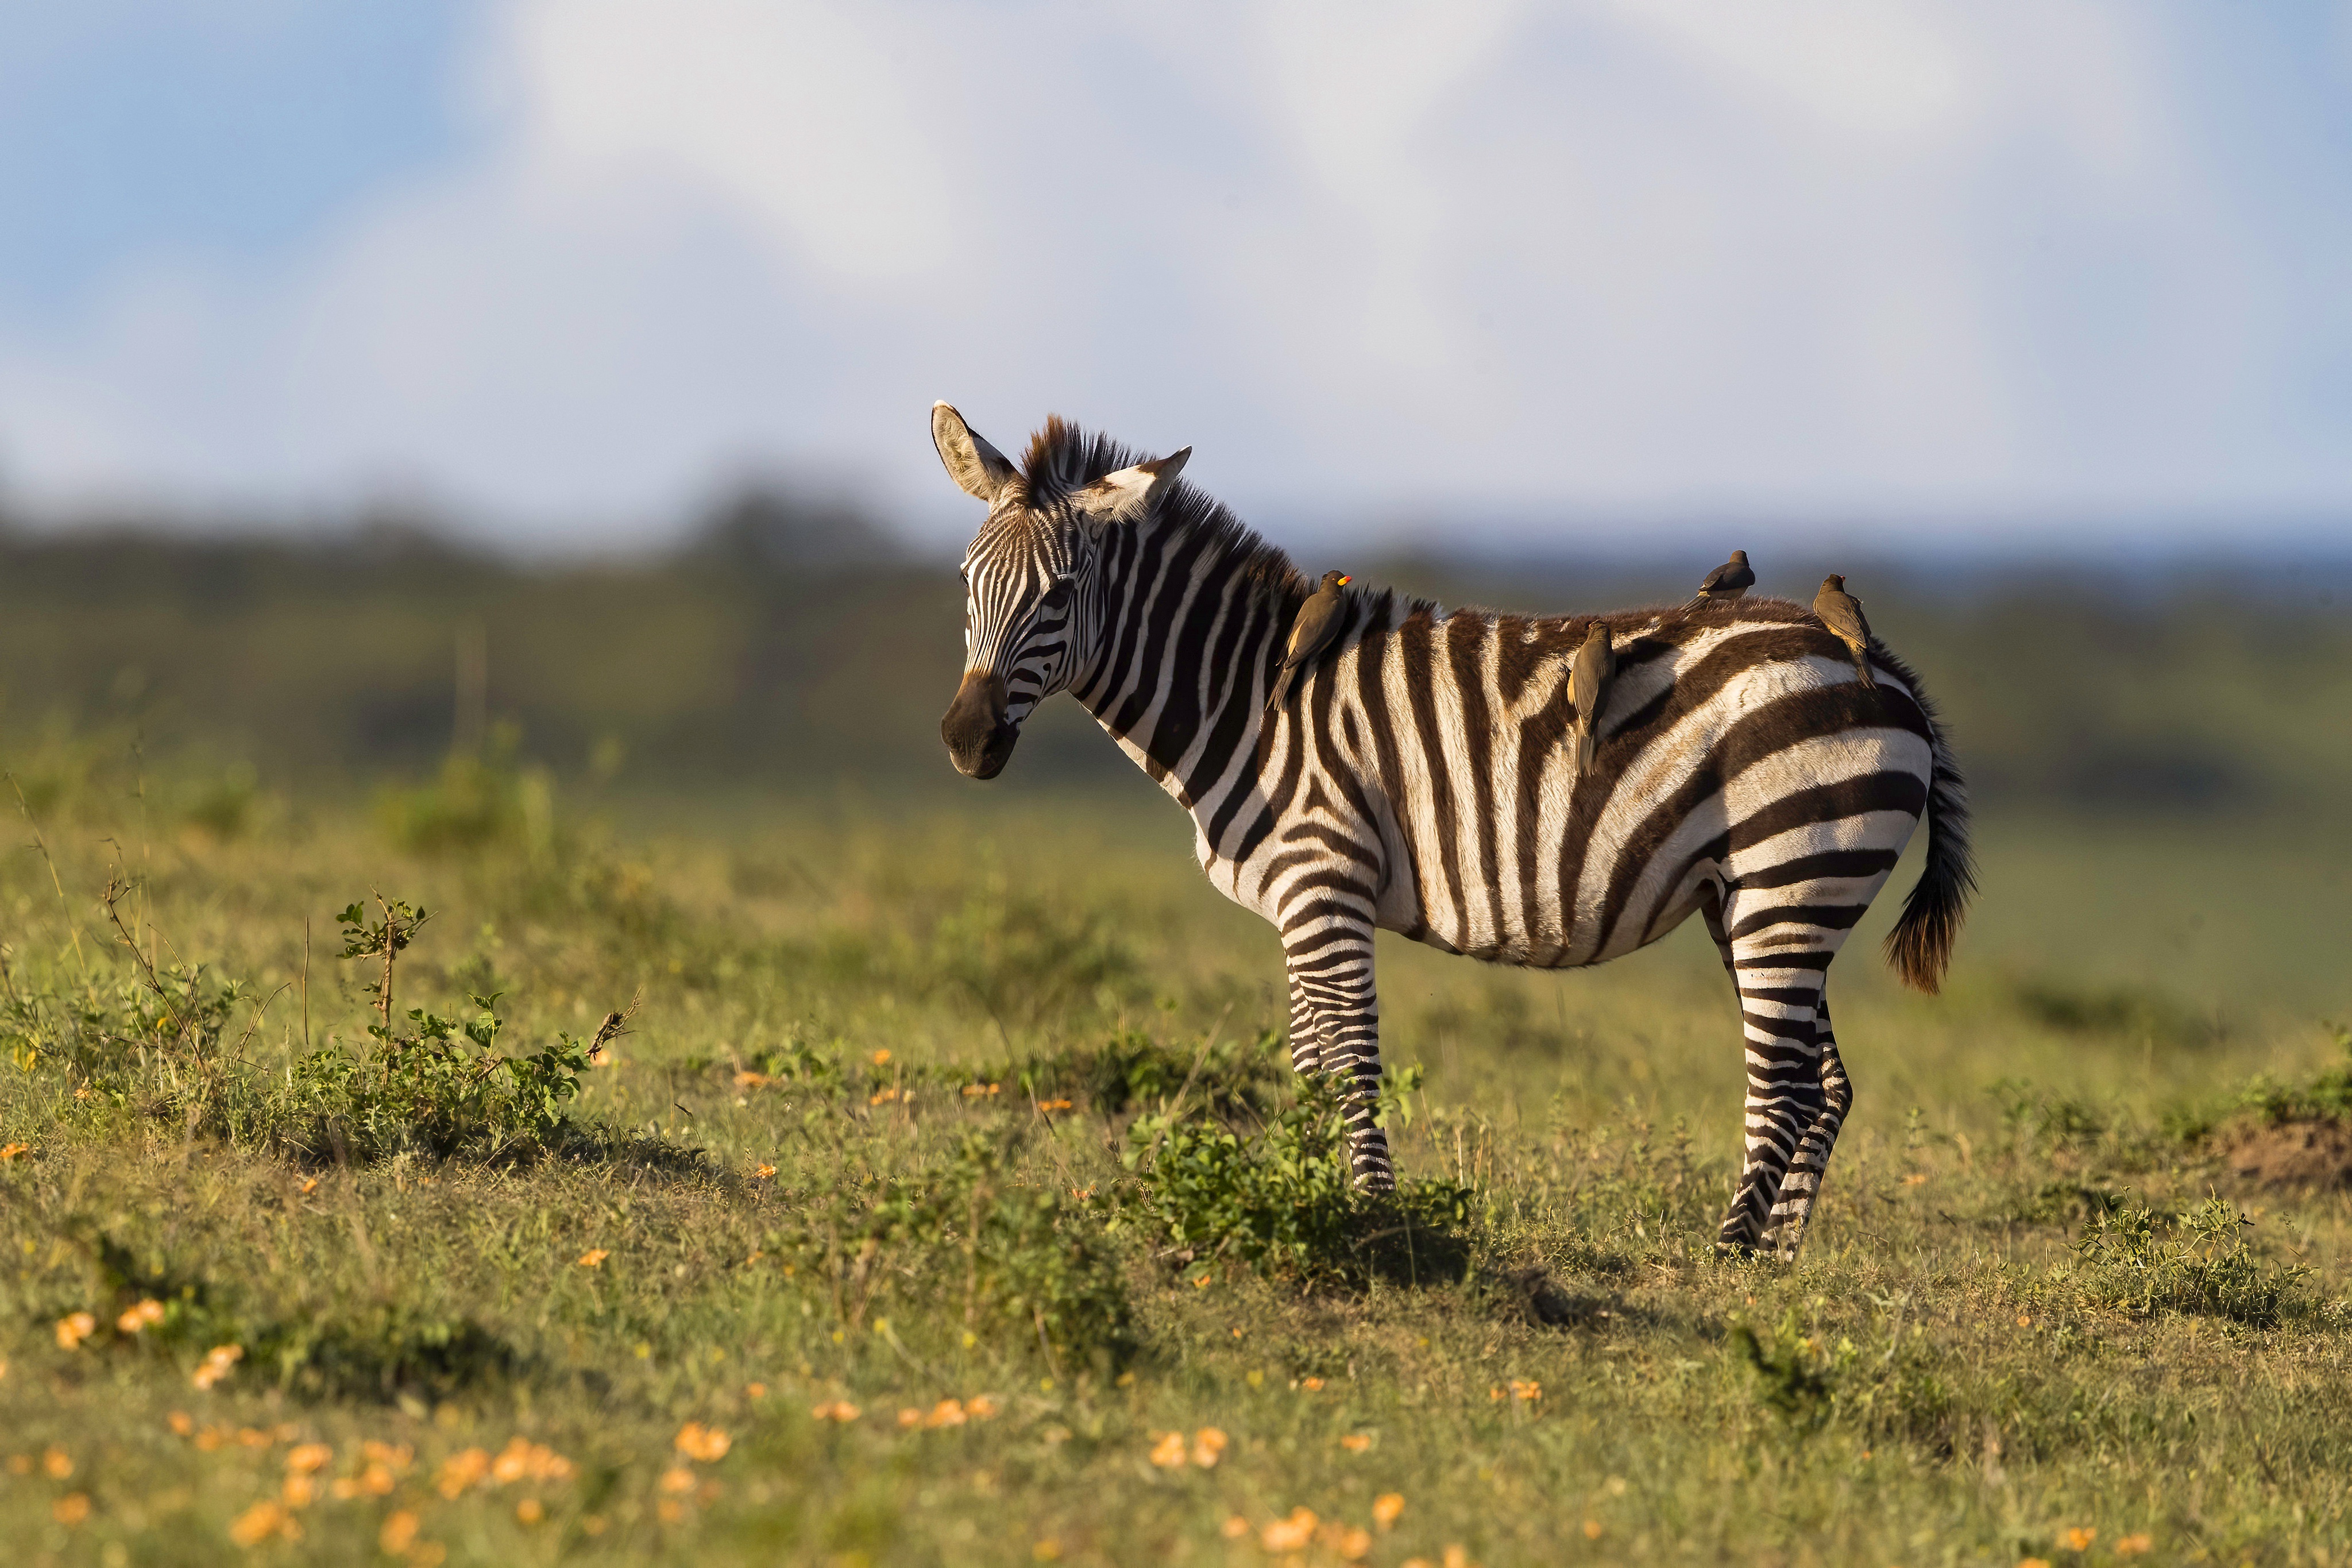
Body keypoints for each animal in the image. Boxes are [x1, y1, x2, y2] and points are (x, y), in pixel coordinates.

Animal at [931, 403, 1973, 1257]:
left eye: (1060, 592)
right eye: (964, 580)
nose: (967, 740)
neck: (1247, 695)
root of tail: (1873, 661)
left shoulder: (1324, 881)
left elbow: (1350, 1065)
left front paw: (1372, 1221)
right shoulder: (1293, 903)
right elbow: (1309, 1068)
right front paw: (1311, 1197)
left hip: (1789, 880)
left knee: (1787, 1083)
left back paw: (1726, 1259)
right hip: (1764, 897)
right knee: (1826, 1082)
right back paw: (1772, 1269)